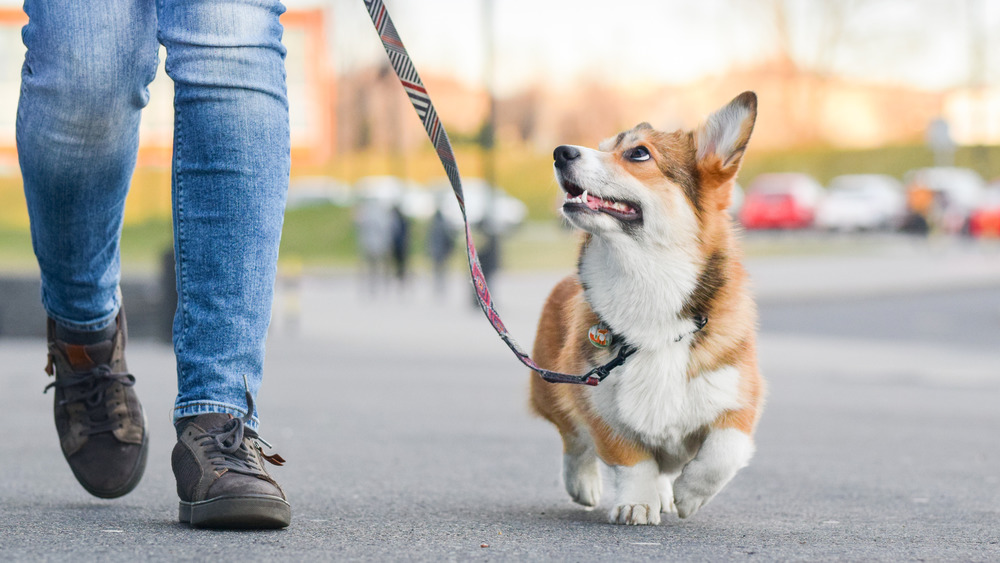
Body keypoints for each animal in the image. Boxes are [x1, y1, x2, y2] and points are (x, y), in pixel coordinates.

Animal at [532, 90, 764, 528]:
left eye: (638, 153)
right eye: (602, 146)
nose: (560, 152)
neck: (647, 281)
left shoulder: (739, 398)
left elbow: (722, 452)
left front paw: (689, 495)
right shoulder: (597, 401)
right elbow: (631, 459)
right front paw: (637, 503)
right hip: (551, 387)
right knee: (573, 440)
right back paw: (585, 484)